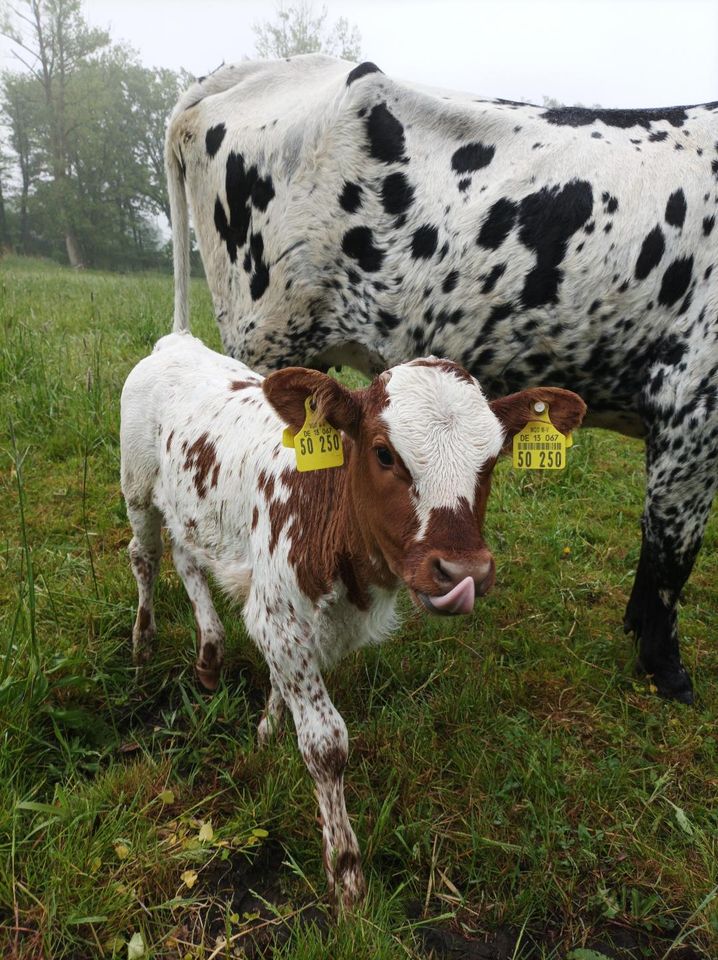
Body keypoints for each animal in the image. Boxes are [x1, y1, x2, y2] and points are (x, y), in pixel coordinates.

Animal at [121, 334, 588, 904]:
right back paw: (144, 641)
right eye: (384, 453)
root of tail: (178, 340)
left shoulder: (291, 624)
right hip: (136, 486)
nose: (464, 572)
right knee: (146, 555)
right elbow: (326, 744)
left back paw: (210, 651)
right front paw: (345, 872)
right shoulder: (278, 614)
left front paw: (268, 730)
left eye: (493, 458)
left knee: (186, 553)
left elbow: (284, 687)